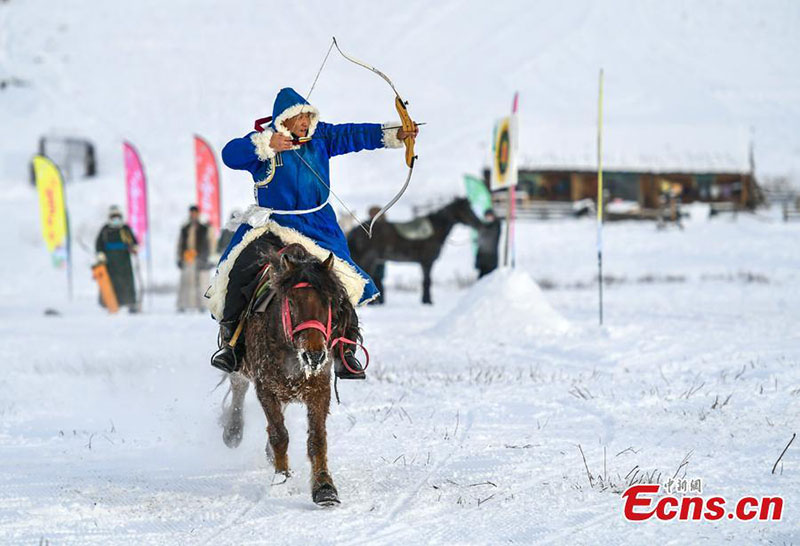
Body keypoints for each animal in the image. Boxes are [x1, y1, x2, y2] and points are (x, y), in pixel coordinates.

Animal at [219, 238, 356, 506]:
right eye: (291, 302)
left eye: (329, 302)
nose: (314, 356)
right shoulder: (266, 388)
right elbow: (279, 434)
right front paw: (281, 481)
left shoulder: (319, 389)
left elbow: (317, 438)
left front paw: (324, 487)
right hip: (239, 366)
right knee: (238, 387)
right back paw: (232, 431)